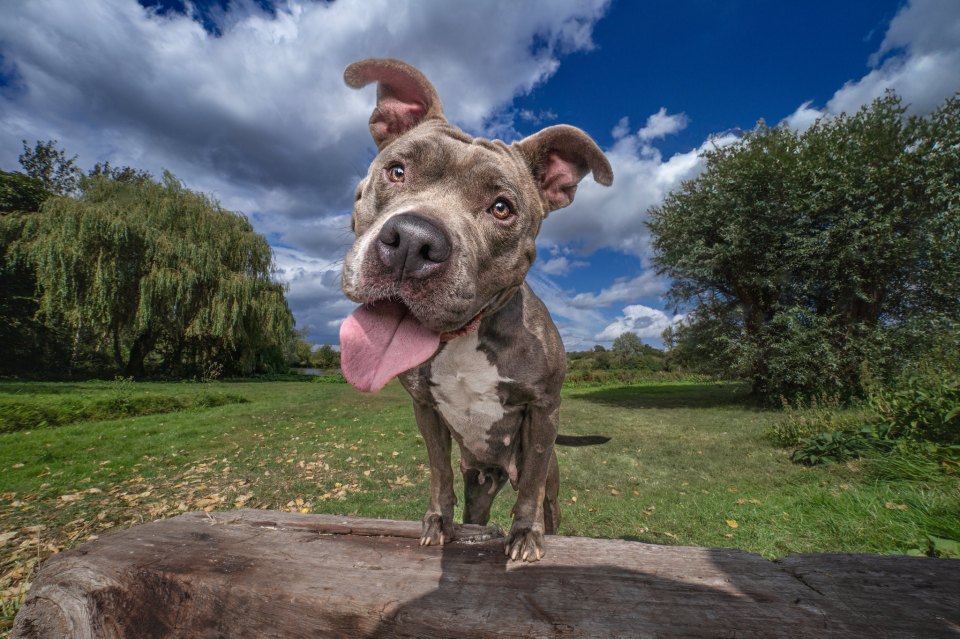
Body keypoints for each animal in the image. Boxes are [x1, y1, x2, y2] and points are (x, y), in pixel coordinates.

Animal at [342, 58, 612, 560]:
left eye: (501, 208)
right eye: (397, 171)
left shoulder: (545, 409)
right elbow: (439, 471)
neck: (464, 340)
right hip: (480, 485)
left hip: (548, 479)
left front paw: (525, 533)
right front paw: (437, 521)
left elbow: (531, 487)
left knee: (544, 495)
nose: (412, 242)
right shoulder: (425, 409)